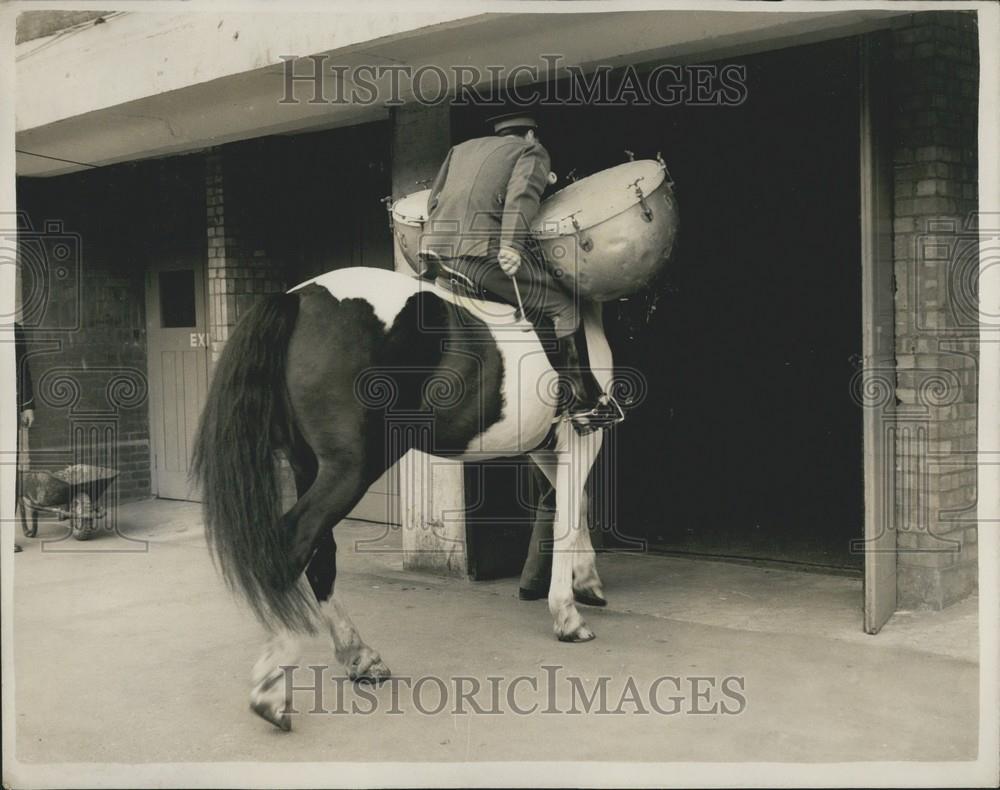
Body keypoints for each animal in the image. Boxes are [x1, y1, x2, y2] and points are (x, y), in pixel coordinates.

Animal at [190, 264, 616, 732]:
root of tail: (298, 299)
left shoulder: (544, 446)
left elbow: (575, 505)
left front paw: (587, 580)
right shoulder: (581, 437)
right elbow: (567, 519)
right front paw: (568, 614)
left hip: (308, 466)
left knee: (320, 557)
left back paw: (358, 656)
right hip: (351, 471)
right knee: (293, 545)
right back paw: (272, 686)